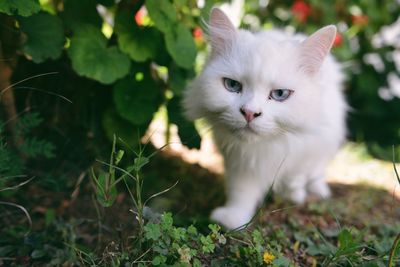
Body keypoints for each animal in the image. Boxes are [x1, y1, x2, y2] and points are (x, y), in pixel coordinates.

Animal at [182, 8, 346, 230]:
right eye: (232, 85)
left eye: (280, 94)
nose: (249, 113)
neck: (268, 147)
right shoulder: (240, 162)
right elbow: (241, 193)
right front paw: (234, 219)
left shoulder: (309, 147)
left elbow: (297, 174)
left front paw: (293, 194)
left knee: (316, 172)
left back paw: (317, 189)